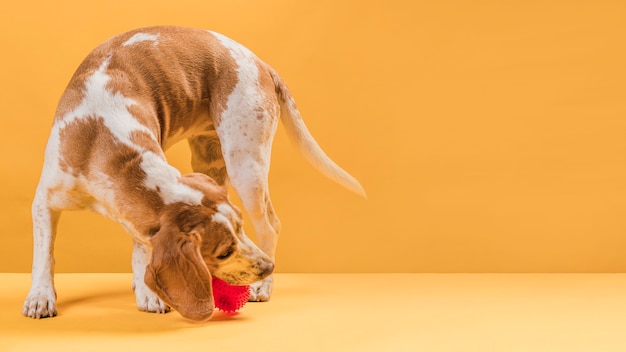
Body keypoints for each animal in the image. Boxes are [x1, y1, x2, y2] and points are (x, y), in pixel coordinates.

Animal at [22, 25, 366, 322]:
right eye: (224, 251)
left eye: (240, 229)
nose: (268, 268)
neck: (103, 140)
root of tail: (261, 63)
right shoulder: (44, 202)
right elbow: (44, 255)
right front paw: (40, 296)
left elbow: (141, 250)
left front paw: (148, 292)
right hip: (211, 163)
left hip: (246, 166)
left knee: (271, 226)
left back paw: (262, 288)